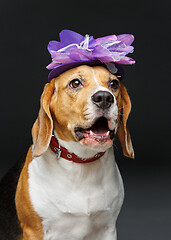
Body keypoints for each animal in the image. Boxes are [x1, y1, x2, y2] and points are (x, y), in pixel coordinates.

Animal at [0, 64, 134, 239]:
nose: (105, 97)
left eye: (114, 84)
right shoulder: (35, 231)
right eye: (75, 83)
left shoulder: (107, 229)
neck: (82, 163)